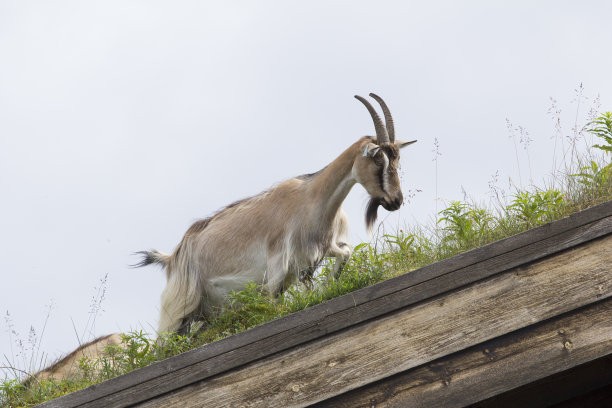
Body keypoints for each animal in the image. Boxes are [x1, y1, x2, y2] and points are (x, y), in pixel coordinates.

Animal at [135, 95, 416, 334]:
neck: (312, 198)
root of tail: (173, 256)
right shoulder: (277, 266)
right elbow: (272, 306)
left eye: (397, 160)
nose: (396, 201)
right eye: (378, 160)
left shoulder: (319, 250)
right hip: (179, 307)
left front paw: (326, 287)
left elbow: (345, 253)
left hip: (205, 314)